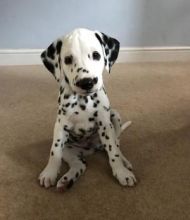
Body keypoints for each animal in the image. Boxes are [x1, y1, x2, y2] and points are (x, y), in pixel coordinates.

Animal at [39, 27, 137, 189]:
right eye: (68, 59)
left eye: (96, 55)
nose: (86, 82)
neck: (83, 100)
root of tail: (91, 148)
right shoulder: (60, 126)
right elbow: (54, 151)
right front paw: (50, 172)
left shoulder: (105, 125)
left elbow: (114, 153)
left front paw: (121, 172)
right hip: (69, 150)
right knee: (79, 165)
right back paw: (67, 179)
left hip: (114, 117)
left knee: (117, 145)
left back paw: (125, 162)